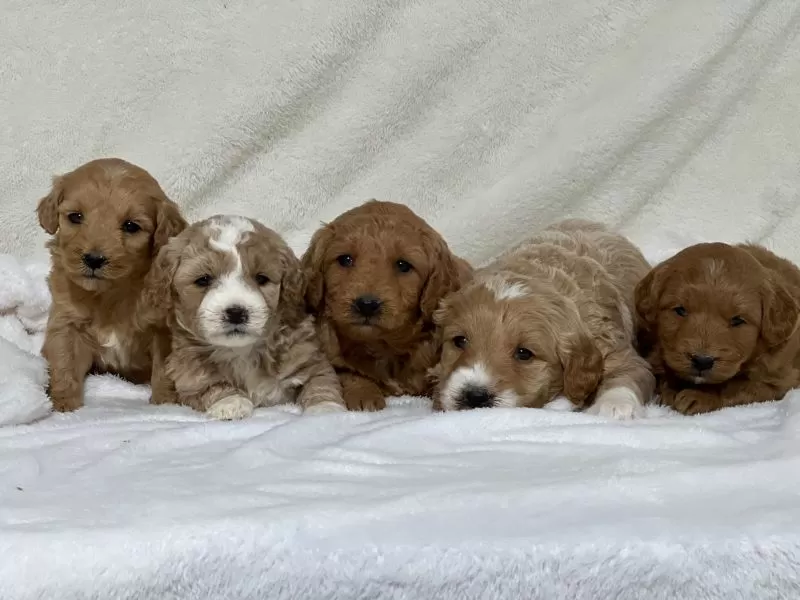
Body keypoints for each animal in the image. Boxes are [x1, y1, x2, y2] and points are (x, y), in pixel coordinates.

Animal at [39, 158, 188, 412]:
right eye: (75, 216)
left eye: (131, 226)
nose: (93, 259)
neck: (109, 294)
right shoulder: (66, 322)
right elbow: (64, 362)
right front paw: (64, 405)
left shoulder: (163, 330)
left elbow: (166, 369)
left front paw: (165, 402)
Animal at [147, 214, 344, 418]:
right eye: (203, 280)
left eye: (261, 278)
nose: (236, 312)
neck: (242, 352)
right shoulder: (188, 374)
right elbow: (211, 385)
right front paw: (230, 402)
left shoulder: (308, 356)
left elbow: (320, 382)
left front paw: (327, 409)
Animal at [304, 199, 472, 410]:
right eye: (345, 259)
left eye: (403, 265)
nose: (367, 305)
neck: (383, 347)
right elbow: (348, 374)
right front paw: (364, 395)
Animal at [432, 218, 656, 420]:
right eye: (459, 341)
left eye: (524, 353)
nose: (474, 396)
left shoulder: (618, 350)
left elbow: (627, 374)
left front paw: (614, 407)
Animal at [636, 241, 800, 414]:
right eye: (680, 310)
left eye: (738, 320)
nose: (702, 361)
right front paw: (671, 390)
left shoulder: (777, 381)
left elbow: (734, 386)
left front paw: (700, 396)